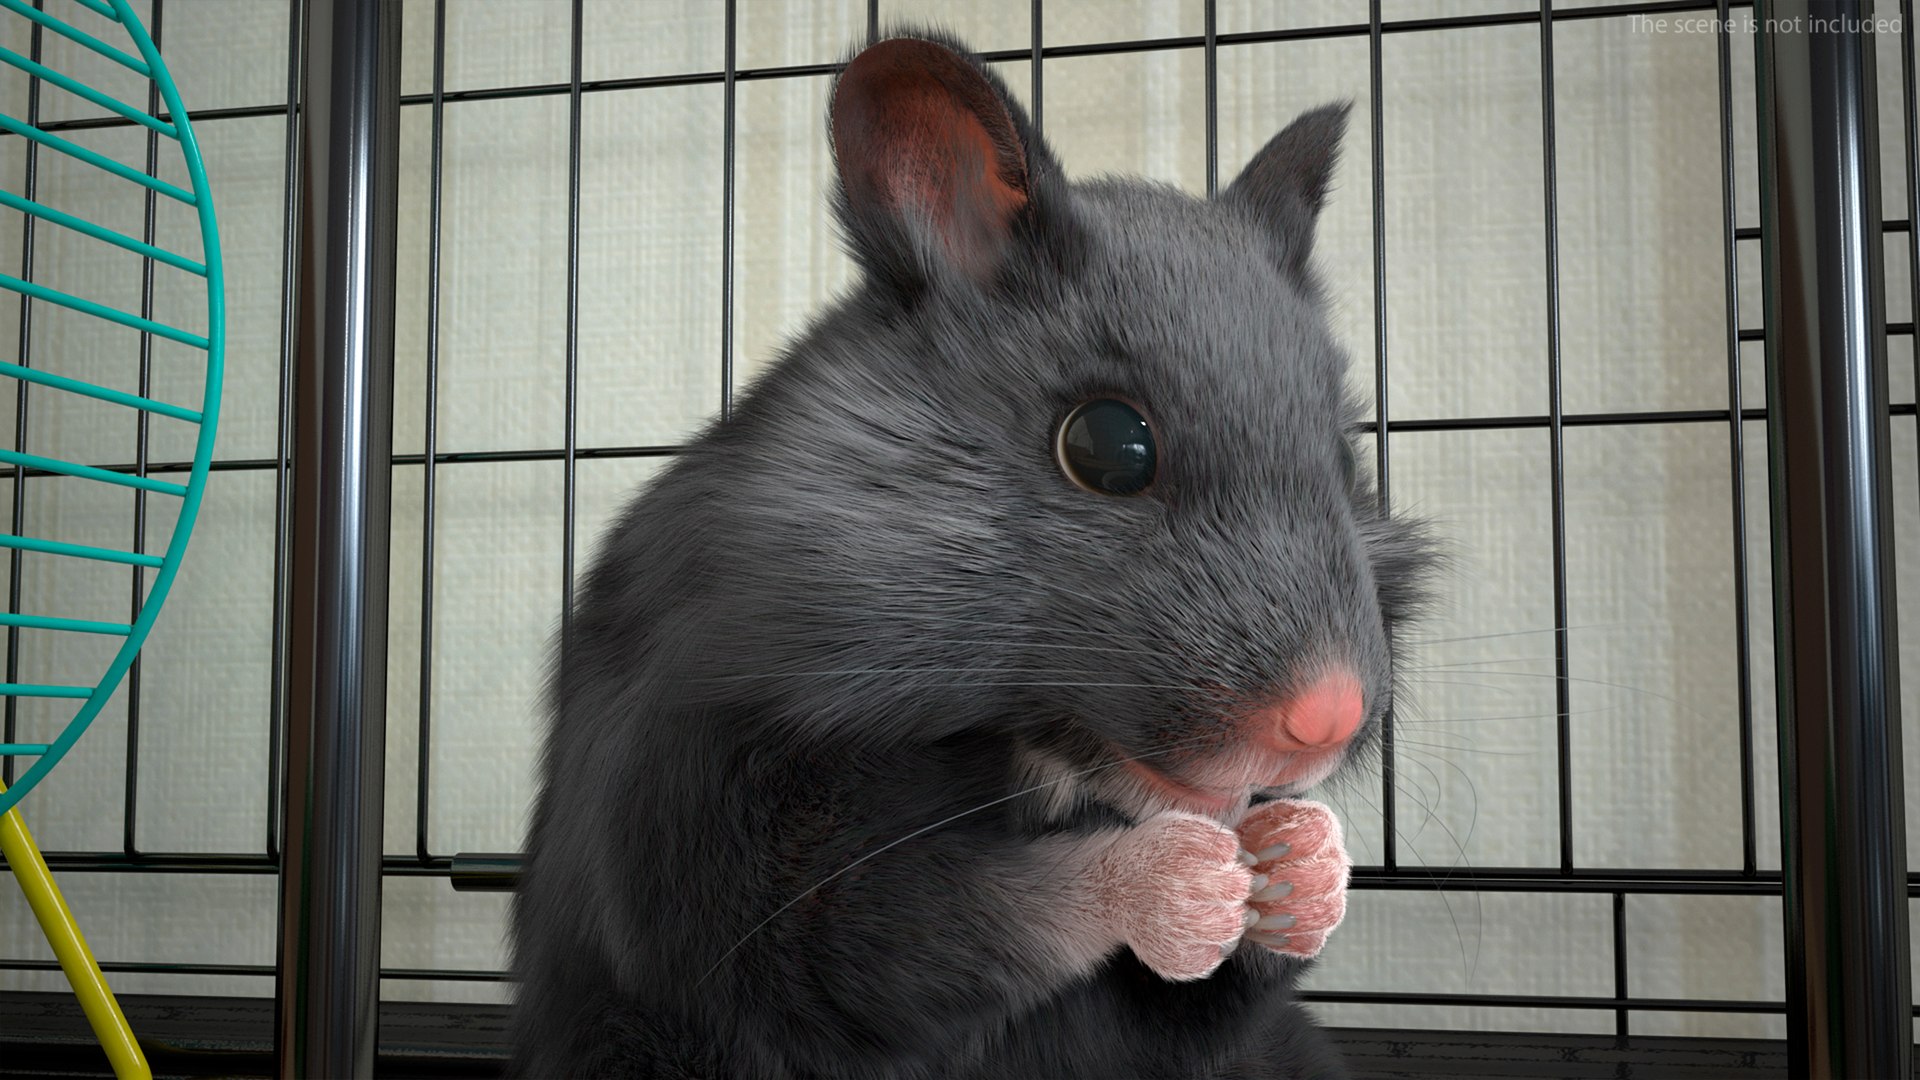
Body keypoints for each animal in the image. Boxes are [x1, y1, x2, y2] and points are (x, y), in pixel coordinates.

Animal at [511, 28, 1435, 1080]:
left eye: (1345, 452)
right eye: (1110, 446)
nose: (1326, 722)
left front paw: (1304, 854)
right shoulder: (735, 869)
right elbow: (985, 909)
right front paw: (1190, 876)